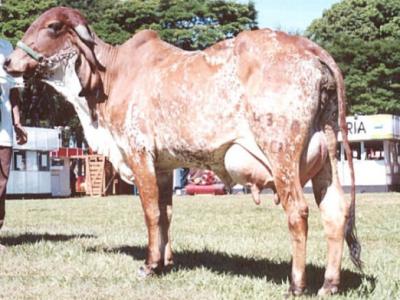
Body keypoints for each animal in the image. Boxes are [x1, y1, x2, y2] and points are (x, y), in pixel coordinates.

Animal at [3, 6, 360, 296]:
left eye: (52, 26)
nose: (8, 61)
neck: (109, 77)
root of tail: (308, 46)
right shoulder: (164, 166)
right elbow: (166, 213)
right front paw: (165, 261)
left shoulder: (139, 153)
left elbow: (150, 212)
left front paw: (149, 265)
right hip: (327, 157)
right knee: (335, 212)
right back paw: (329, 284)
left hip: (281, 152)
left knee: (298, 212)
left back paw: (297, 284)